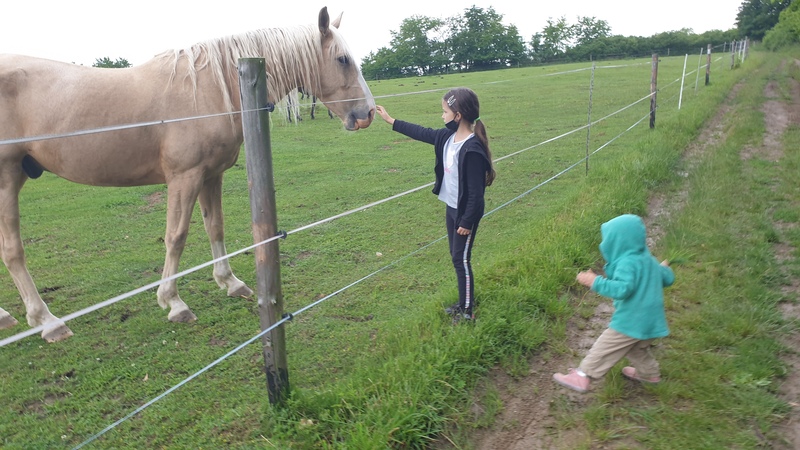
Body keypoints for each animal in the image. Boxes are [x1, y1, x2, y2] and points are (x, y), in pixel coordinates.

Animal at [0, 7, 375, 343]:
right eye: (342, 59)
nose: (368, 113)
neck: (215, 88)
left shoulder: (211, 176)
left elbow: (215, 227)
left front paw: (230, 282)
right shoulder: (185, 177)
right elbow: (176, 236)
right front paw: (173, 302)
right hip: (7, 178)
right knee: (13, 251)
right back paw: (47, 321)